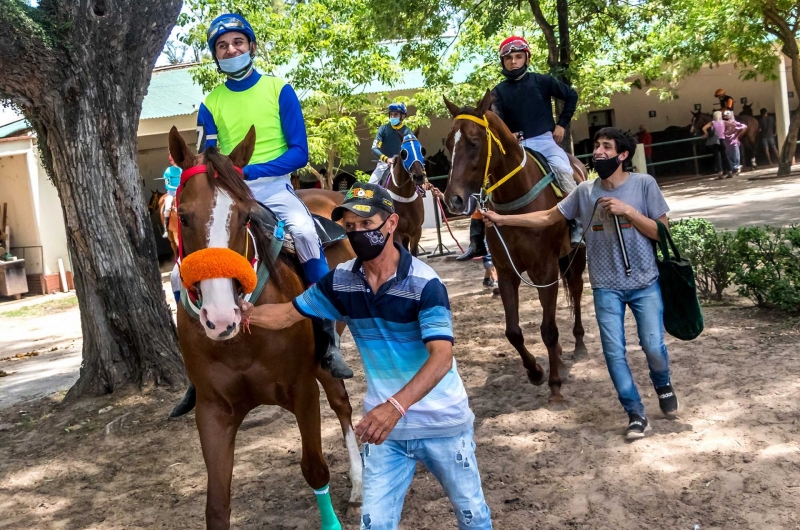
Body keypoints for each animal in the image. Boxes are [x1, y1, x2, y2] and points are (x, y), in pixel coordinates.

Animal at [444, 91, 588, 404]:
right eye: (448, 144)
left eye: (474, 142)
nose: (454, 200)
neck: (517, 203)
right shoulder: (506, 272)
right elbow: (513, 332)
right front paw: (535, 371)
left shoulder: (546, 270)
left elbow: (548, 329)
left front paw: (555, 385)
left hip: (576, 256)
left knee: (576, 291)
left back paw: (579, 343)